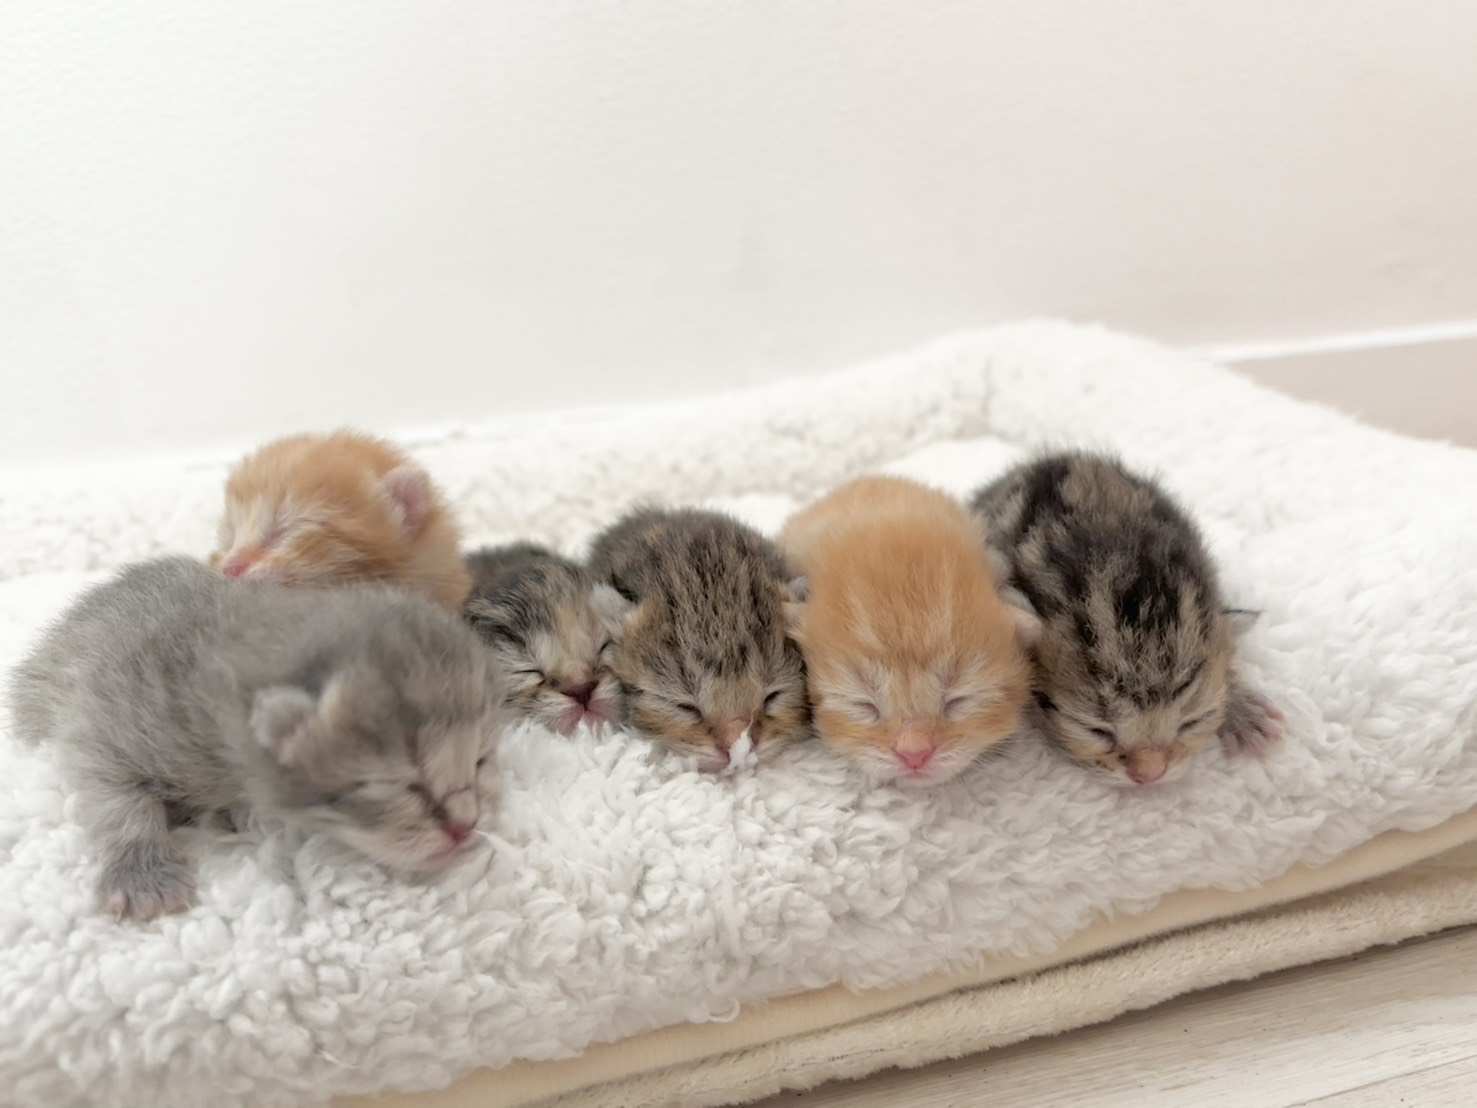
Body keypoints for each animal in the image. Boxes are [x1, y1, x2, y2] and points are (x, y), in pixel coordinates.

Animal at [7, 557, 505, 921]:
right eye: (401, 786)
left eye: (480, 762)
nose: (466, 826)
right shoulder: (103, 718)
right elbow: (113, 795)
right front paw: (141, 872)